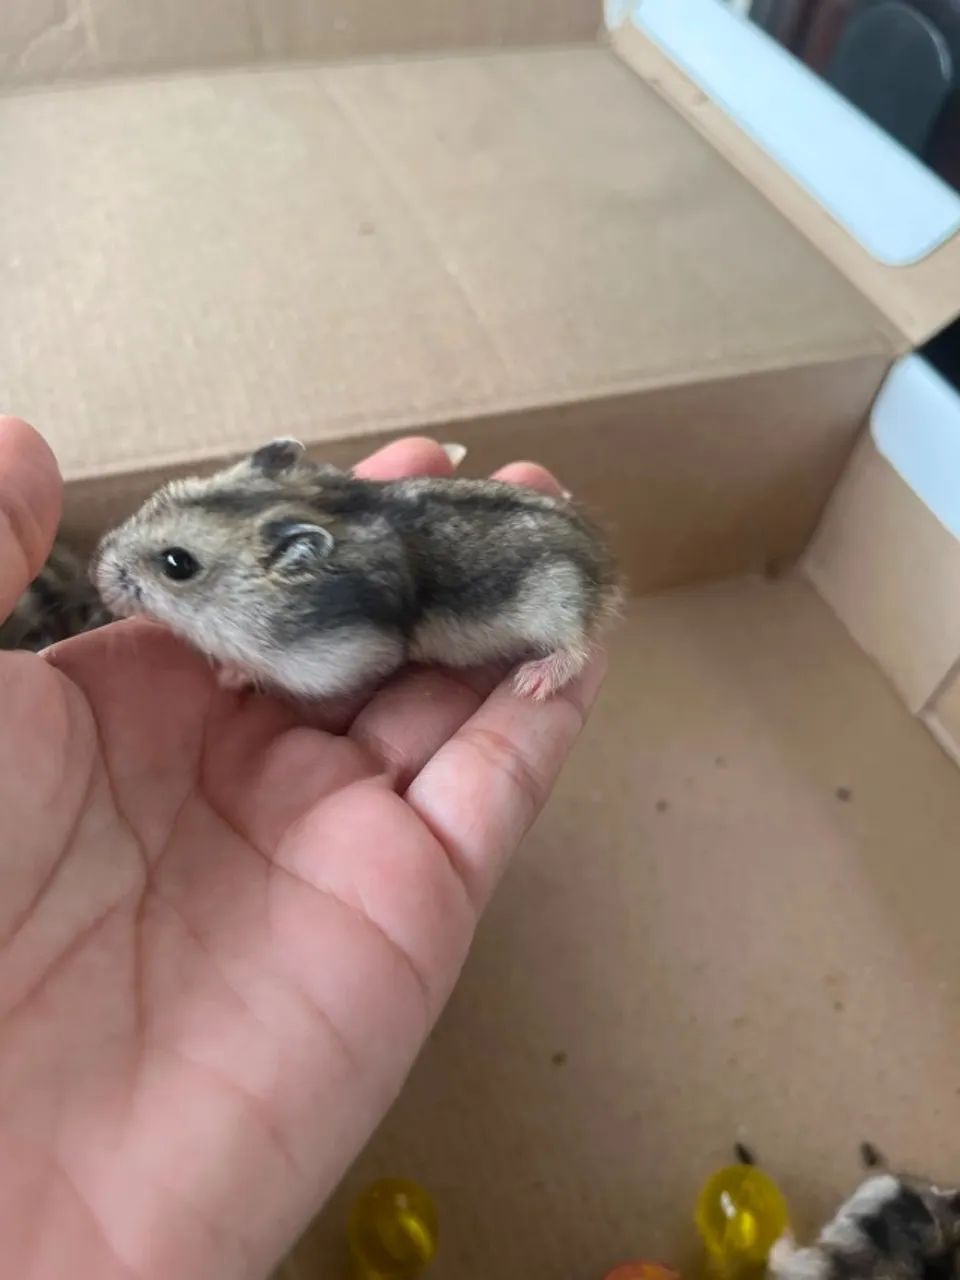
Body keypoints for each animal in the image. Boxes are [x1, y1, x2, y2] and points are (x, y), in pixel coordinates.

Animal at [93, 439, 621, 701]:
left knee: (578, 645)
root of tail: (609, 569)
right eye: (162, 493)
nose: (98, 574)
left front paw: (230, 677)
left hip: (557, 599)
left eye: (177, 564)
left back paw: (531, 683)